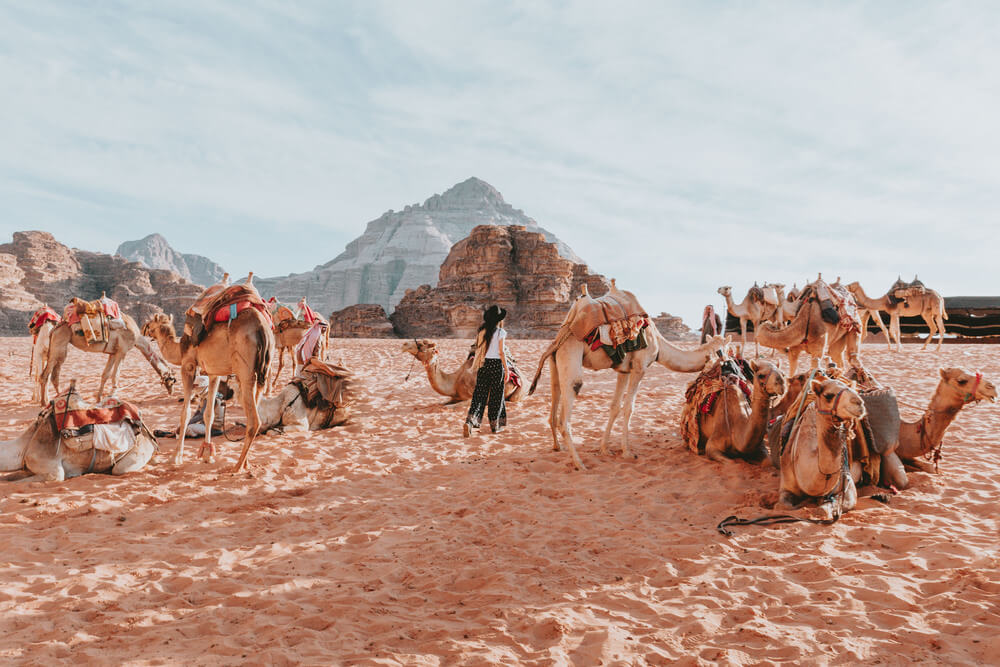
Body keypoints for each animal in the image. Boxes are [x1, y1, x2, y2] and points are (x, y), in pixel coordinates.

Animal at [38, 310, 176, 404]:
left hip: (60, 348)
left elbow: (105, 375)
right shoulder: (122, 351)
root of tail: (55, 328)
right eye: (172, 379)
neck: (137, 338)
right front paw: (112, 396)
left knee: (54, 375)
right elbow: (115, 376)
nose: (171, 392)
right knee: (45, 375)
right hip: (58, 346)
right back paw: (45, 402)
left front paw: (99, 398)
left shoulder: (113, 353)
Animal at [400, 342, 528, 404]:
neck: (455, 381)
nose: (404, 345)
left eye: (421, 345)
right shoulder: (454, 397)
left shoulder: (468, 398)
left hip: (520, 391)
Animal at [524, 282, 728, 470]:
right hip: (571, 356)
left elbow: (615, 407)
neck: (659, 346)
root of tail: (561, 335)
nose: (729, 361)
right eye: (721, 350)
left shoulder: (623, 370)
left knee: (553, 403)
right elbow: (629, 408)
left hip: (555, 362)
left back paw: (558, 447)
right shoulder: (639, 368)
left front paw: (605, 449)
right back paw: (579, 463)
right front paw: (627, 452)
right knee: (565, 415)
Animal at [772, 378, 868, 516]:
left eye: (855, 390)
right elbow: (783, 506)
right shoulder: (786, 484)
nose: (859, 403)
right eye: (828, 395)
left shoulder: (847, 486)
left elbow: (822, 509)